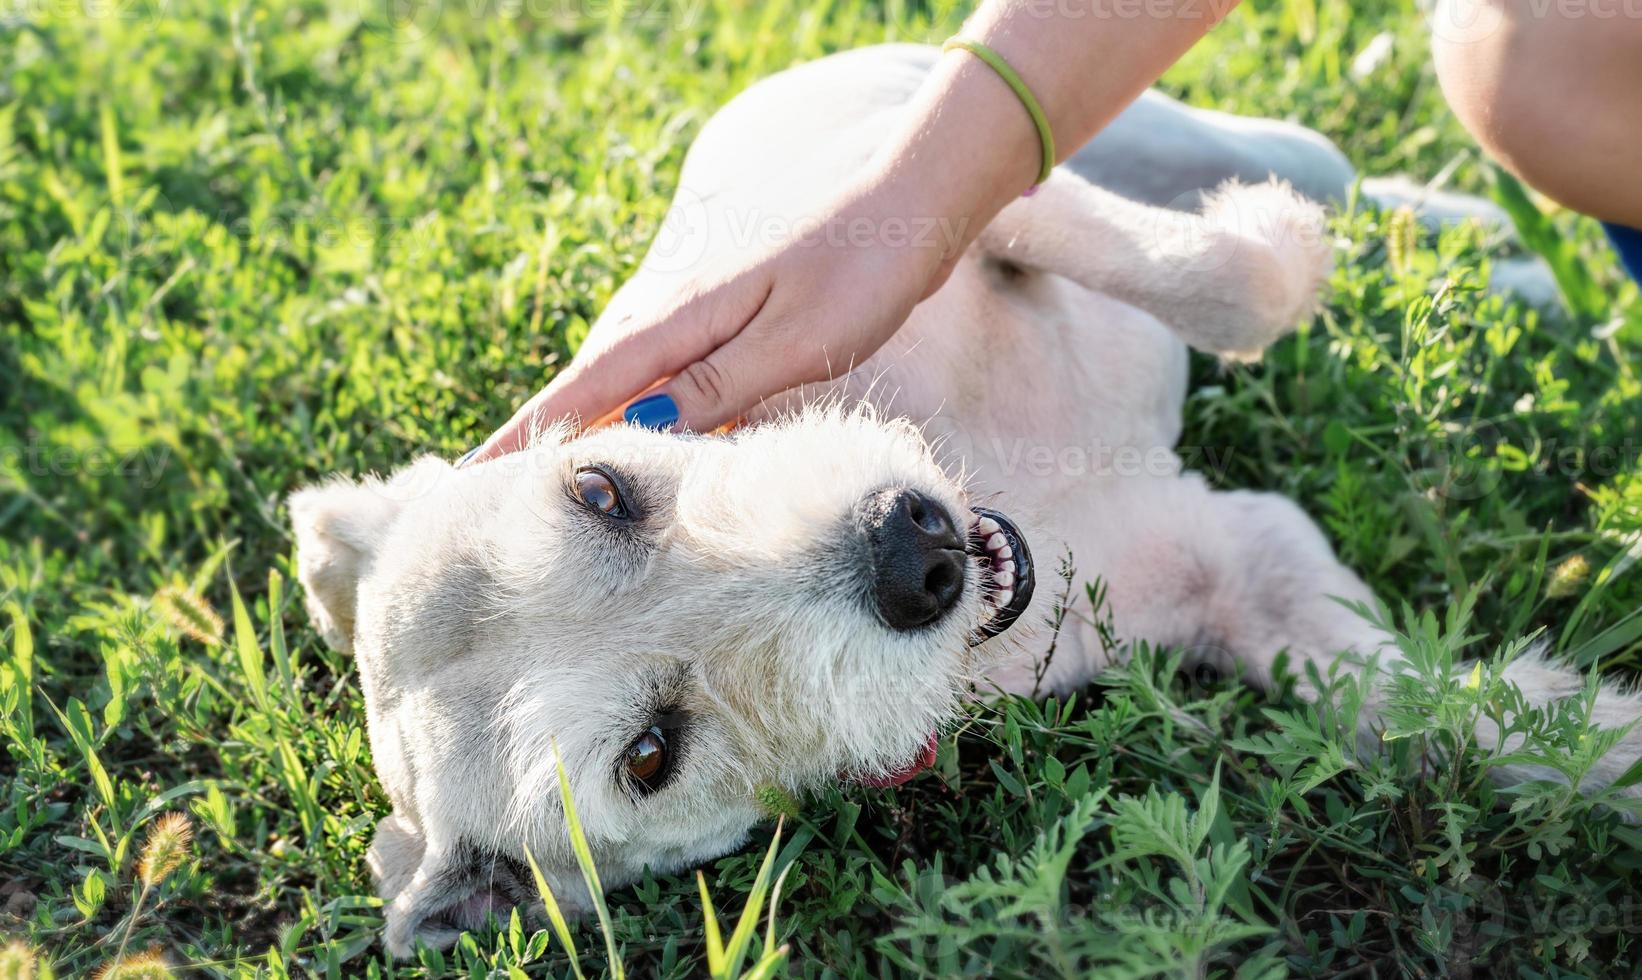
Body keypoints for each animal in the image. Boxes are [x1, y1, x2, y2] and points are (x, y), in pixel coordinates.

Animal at [292, 42, 1628, 952]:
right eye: (650, 753)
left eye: (600, 487)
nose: (912, 549)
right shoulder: (1252, 566)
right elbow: (1432, 711)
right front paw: (1603, 745)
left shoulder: (932, 221)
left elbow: (1223, 278)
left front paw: (1279, 251)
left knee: (1342, 177)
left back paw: (1511, 259)